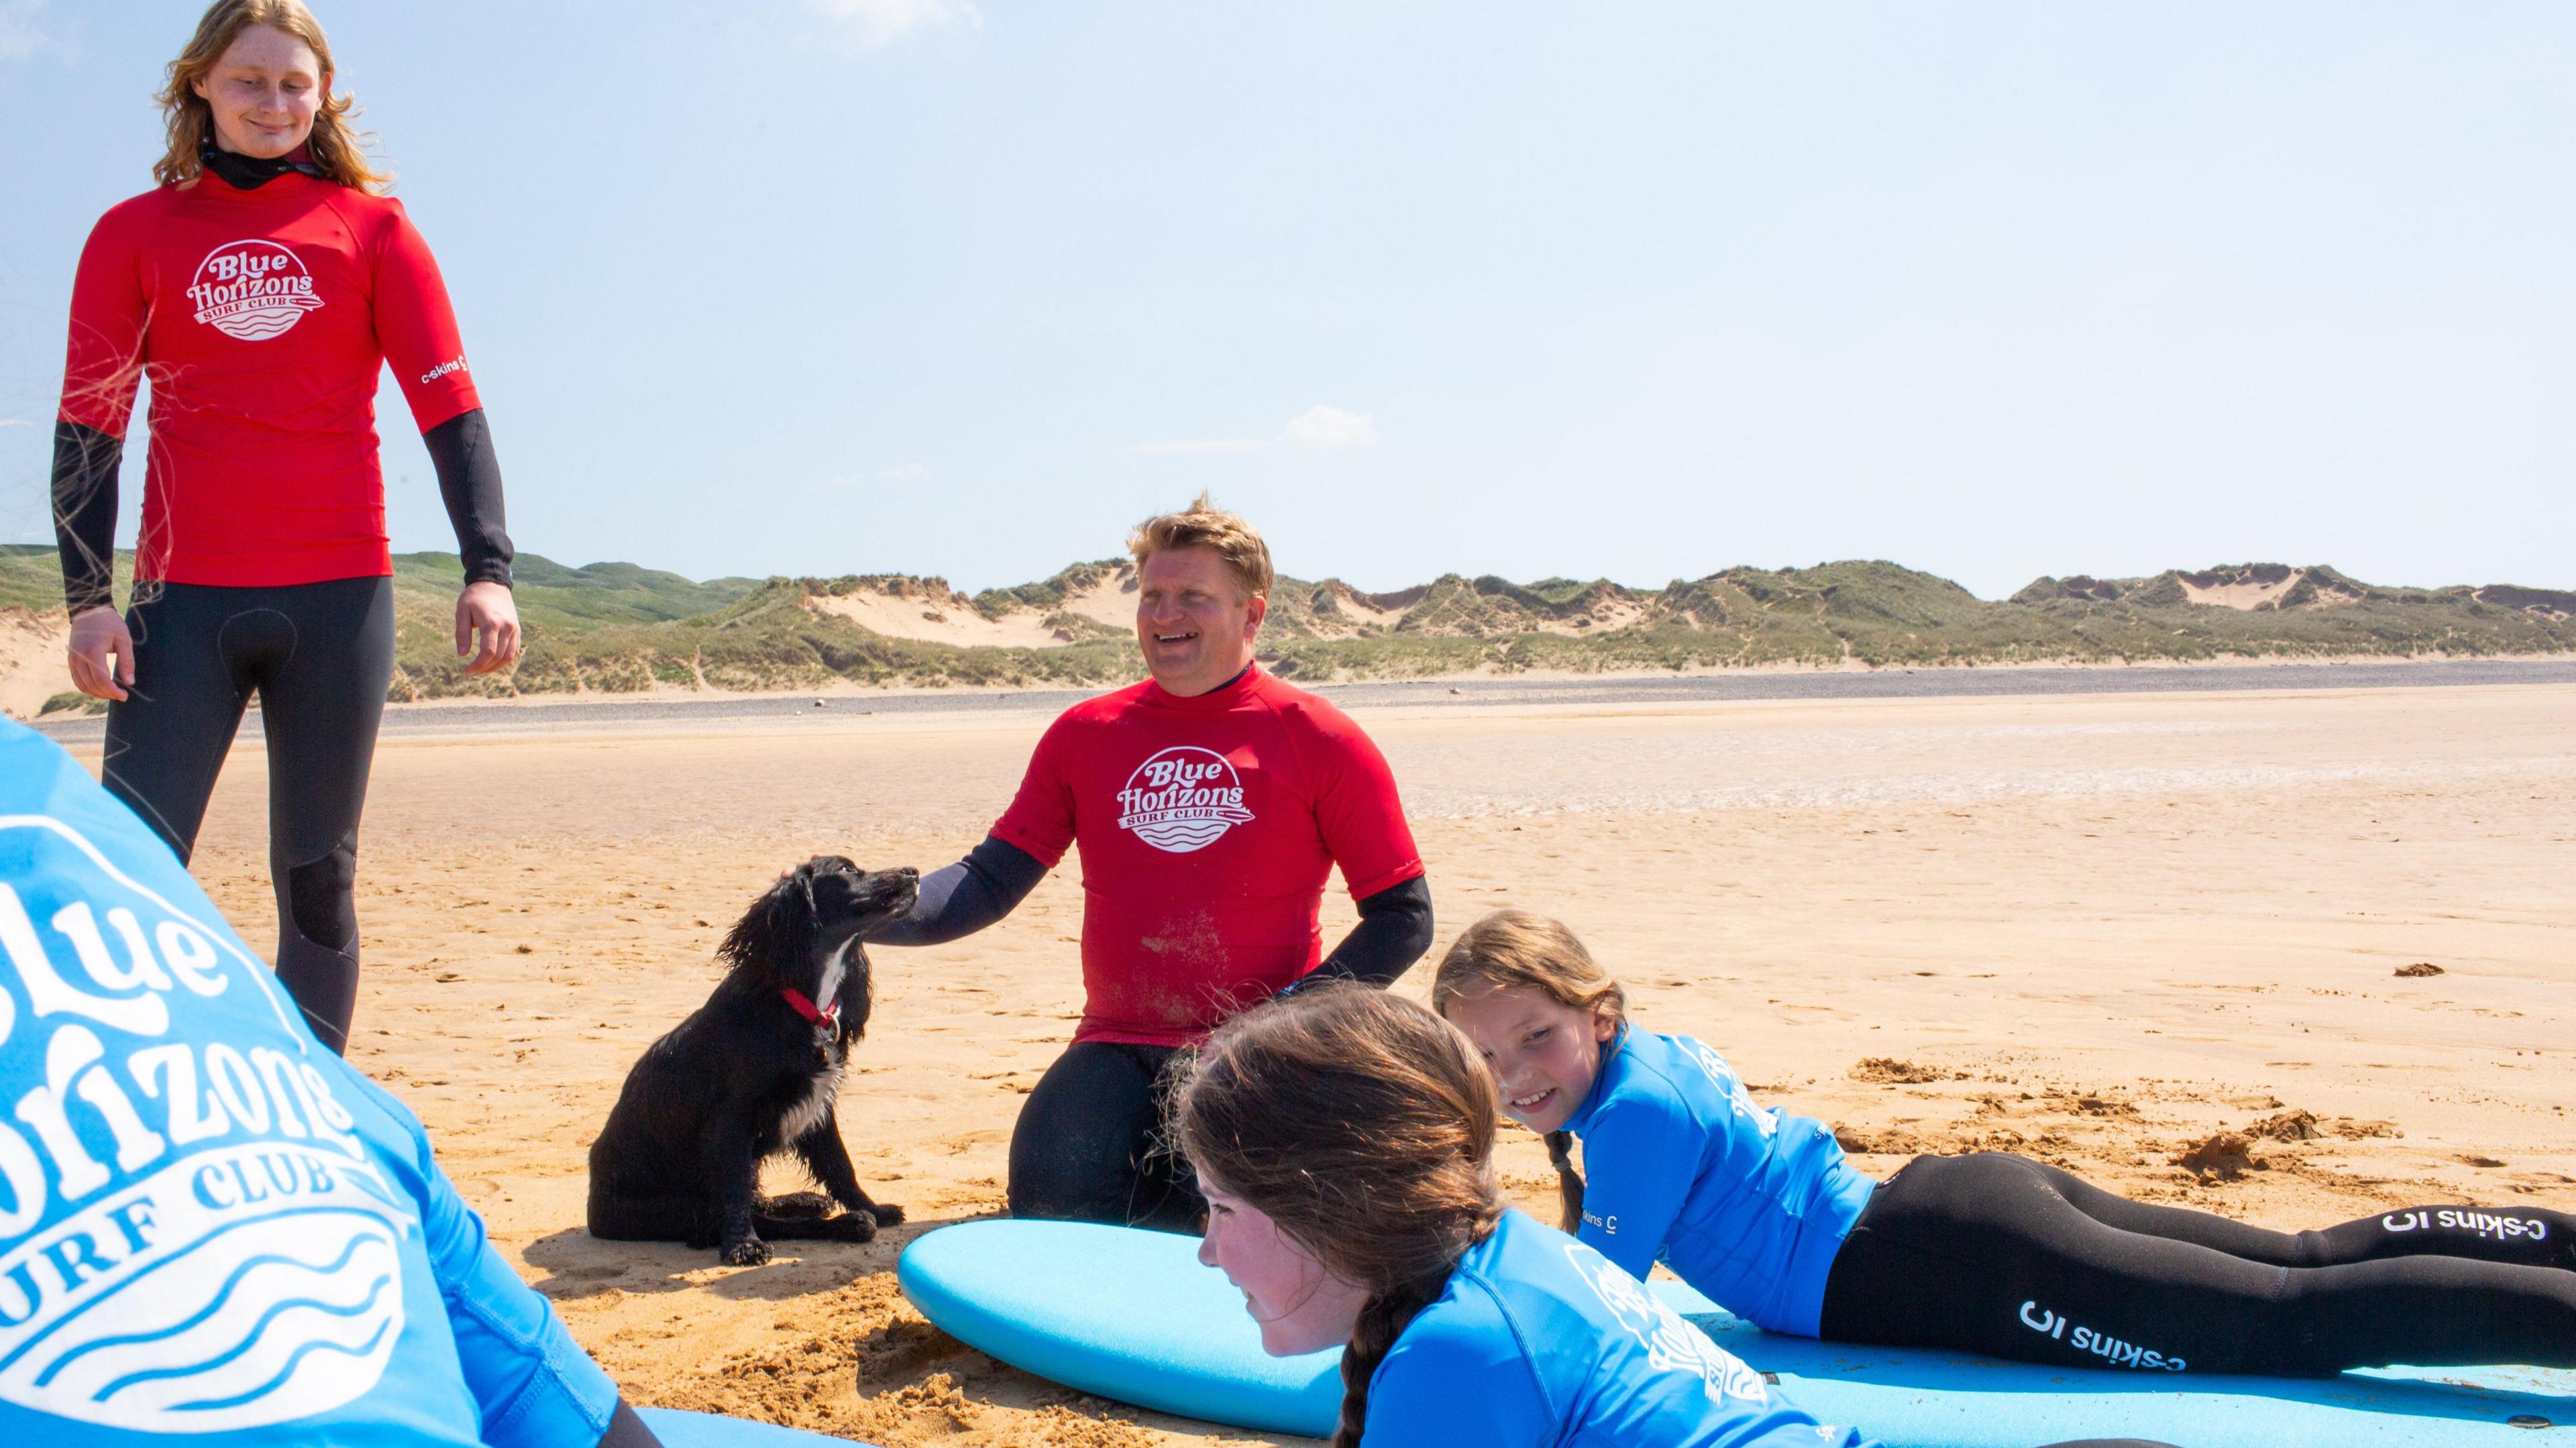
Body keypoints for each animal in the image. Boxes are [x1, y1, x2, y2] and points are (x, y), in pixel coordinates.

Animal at [587, 850, 917, 1257]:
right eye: (845, 869)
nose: (914, 872)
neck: (802, 1003)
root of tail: (594, 1211)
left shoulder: (818, 1106)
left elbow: (841, 1166)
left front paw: (875, 1208)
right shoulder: (732, 1118)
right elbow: (736, 1190)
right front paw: (744, 1244)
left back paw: (808, 1201)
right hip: (681, 1207)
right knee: (750, 1215)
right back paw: (846, 1224)